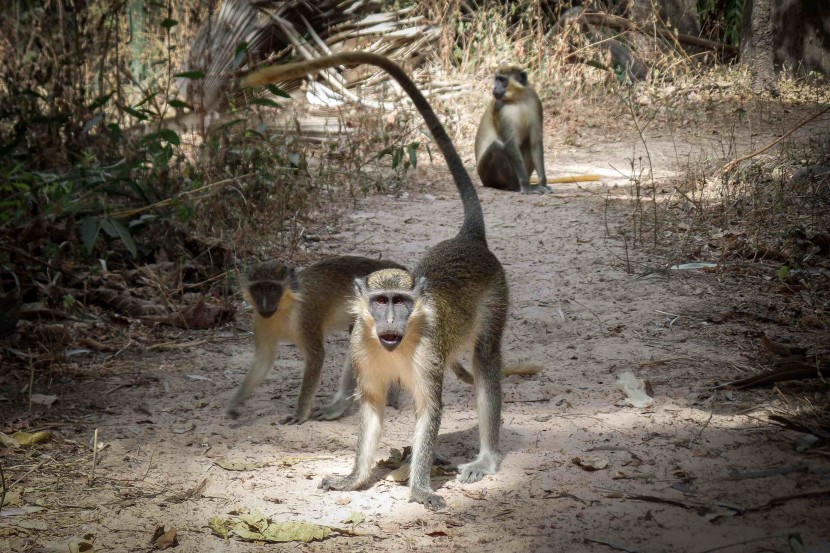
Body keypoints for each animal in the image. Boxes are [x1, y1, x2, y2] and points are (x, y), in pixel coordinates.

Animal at [228, 256, 406, 424]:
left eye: (272, 288)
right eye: (258, 289)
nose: (265, 305)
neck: (285, 306)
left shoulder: (306, 315)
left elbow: (316, 355)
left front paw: (300, 414)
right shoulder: (260, 321)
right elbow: (263, 359)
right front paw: (234, 403)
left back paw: (339, 407)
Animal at [247, 54, 528, 512]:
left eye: (400, 301)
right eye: (380, 301)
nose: (391, 321)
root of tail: (468, 240)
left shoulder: (428, 353)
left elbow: (430, 410)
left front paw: (419, 488)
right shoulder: (362, 346)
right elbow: (373, 408)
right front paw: (354, 478)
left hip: (496, 296)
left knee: (486, 357)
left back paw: (485, 457)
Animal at [474, 66, 552, 194]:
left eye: (502, 80)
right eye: (497, 79)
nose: (495, 87)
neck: (518, 98)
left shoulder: (535, 102)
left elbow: (535, 143)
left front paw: (543, 183)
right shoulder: (499, 107)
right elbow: (511, 144)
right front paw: (525, 185)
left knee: (527, 143)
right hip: (485, 176)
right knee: (496, 147)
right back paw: (515, 186)